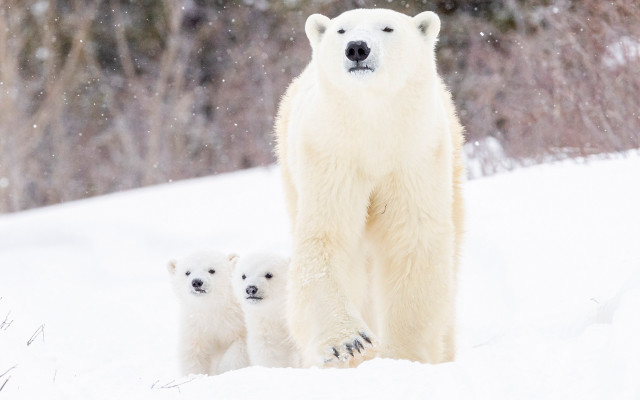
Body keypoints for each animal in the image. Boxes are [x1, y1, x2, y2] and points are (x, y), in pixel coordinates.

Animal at [274, 8, 465, 368]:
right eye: (341, 30)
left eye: (387, 28)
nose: (357, 48)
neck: (371, 122)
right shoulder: (330, 156)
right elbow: (326, 237)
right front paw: (350, 343)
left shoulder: (414, 156)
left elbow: (412, 241)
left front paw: (404, 354)